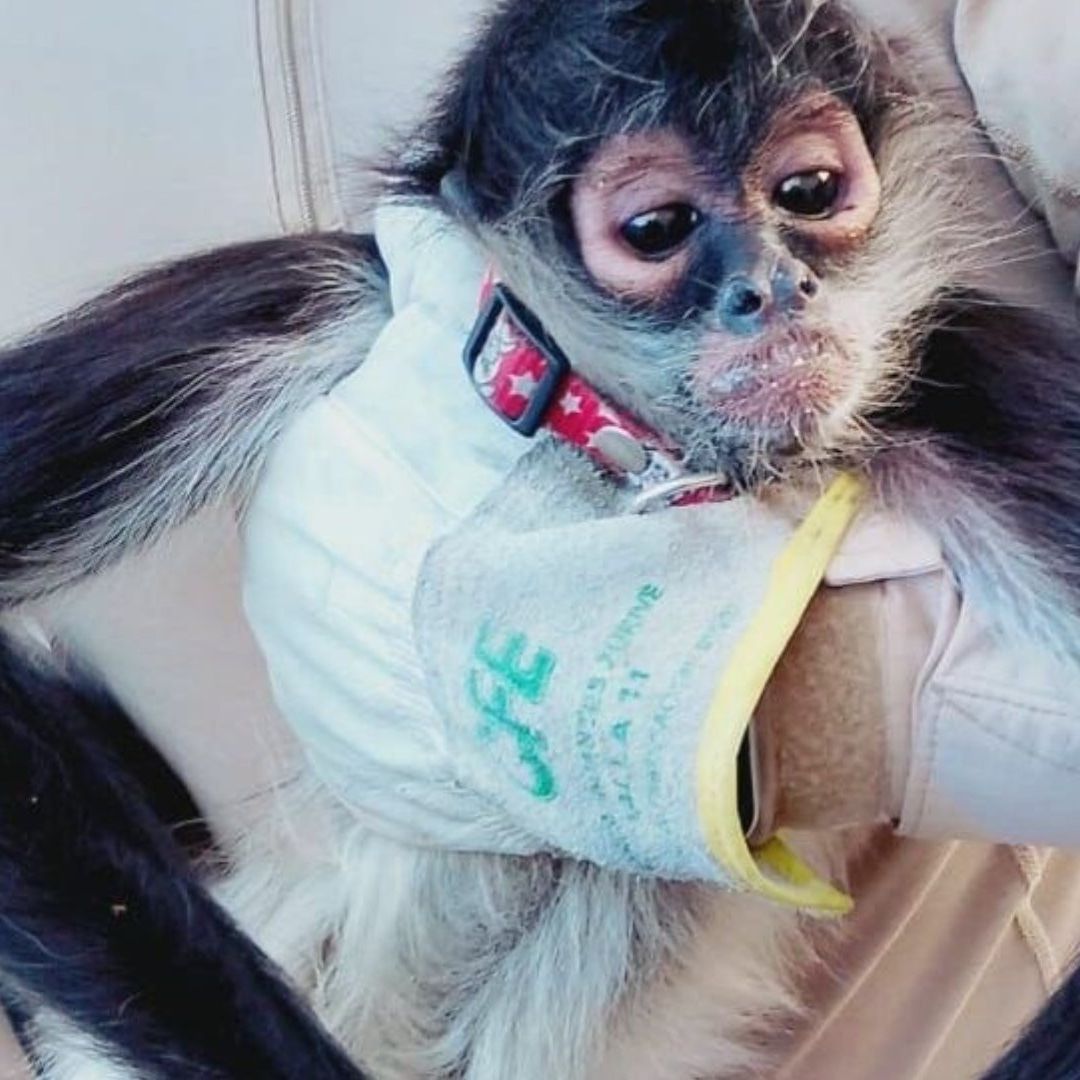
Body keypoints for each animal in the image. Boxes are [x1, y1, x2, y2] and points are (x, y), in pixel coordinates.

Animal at [1, 0, 1080, 1077]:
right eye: (656, 229)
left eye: (808, 192)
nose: (774, 289)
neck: (632, 443)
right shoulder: (320, 291)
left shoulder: (946, 368)